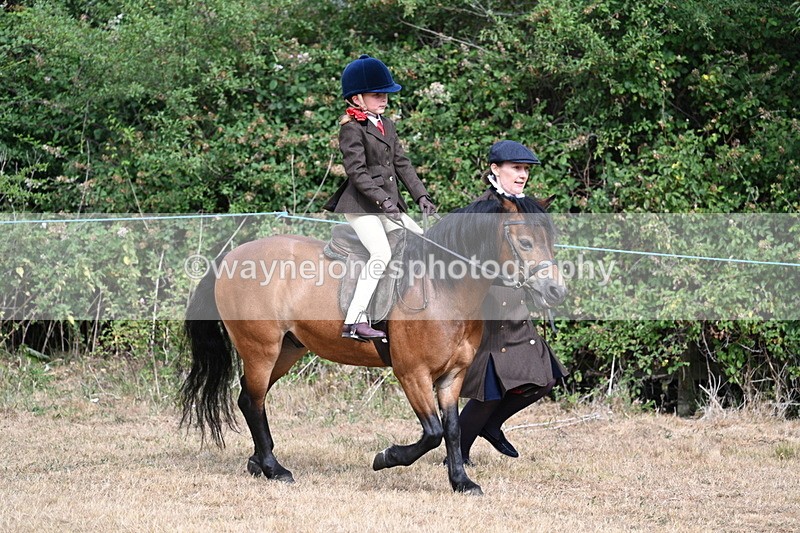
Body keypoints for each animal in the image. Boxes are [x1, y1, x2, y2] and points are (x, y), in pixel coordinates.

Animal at [180, 193, 566, 495]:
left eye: (550, 241)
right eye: (525, 243)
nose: (555, 291)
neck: (442, 286)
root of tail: (230, 257)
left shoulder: (453, 375)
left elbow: (454, 430)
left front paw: (461, 482)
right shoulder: (412, 373)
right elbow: (433, 432)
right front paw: (387, 458)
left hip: (286, 351)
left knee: (249, 398)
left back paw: (259, 463)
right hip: (262, 349)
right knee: (253, 400)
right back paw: (275, 469)